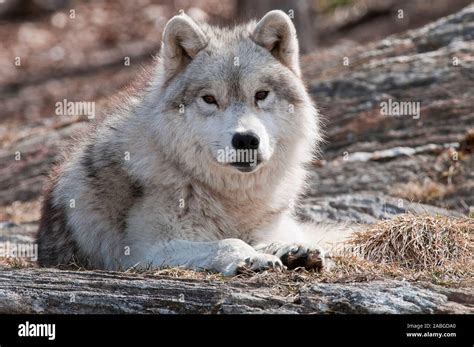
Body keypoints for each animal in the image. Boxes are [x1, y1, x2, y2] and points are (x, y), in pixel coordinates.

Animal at [38, 10, 330, 276]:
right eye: (209, 99)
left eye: (261, 95)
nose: (246, 139)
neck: (230, 196)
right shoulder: (144, 251)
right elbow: (227, 241)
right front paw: (251, 257)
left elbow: (264, 238)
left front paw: (289, 249)